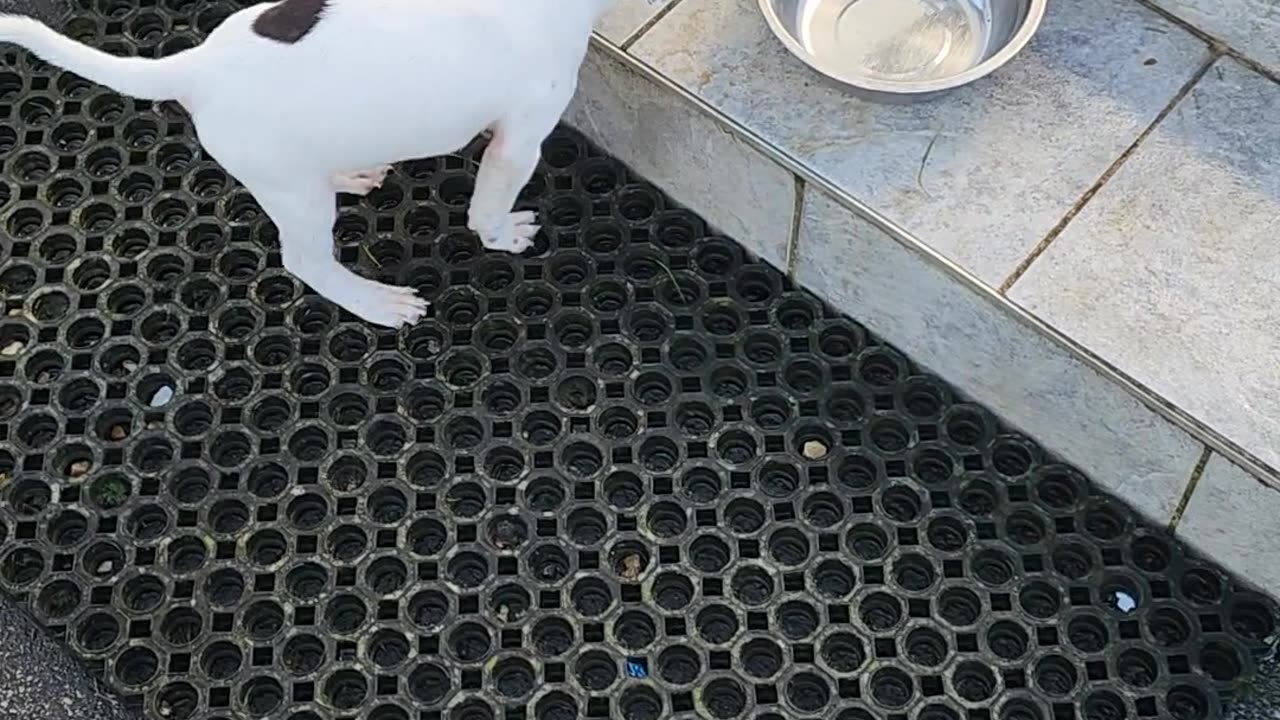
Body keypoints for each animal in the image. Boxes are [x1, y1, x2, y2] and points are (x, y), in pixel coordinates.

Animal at [0, 0, 619, 325]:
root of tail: (195, 67)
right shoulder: (519, 141)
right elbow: (488, 208)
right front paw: (505, 236)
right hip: (294, 196)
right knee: (306, 261)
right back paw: (375, 302)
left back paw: (352, 172)